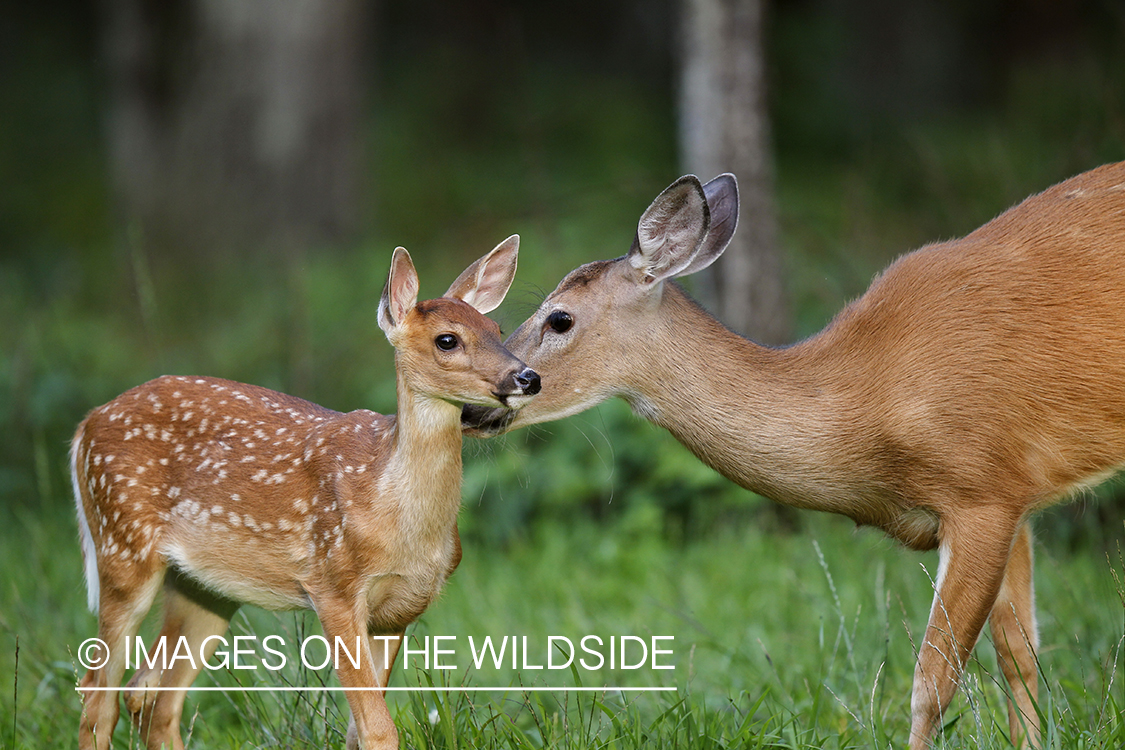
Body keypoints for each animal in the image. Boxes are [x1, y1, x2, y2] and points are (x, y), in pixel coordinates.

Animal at [74, 236, 540, 750]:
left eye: (497, 328)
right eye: (447, 340)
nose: (527, 378)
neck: (395, 512)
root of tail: (86, 425)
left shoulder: (397, 612)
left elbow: (360, 730)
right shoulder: (333, 585)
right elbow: (379, 729)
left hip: (204, 586)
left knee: (151, 695)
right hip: (122, 548)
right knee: (97, 694)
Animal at [461, 165, 1125, 750]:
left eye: (559, 318)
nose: (474, 407)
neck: (867, 396)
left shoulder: (982, 491)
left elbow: (932, 680)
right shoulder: (1018, 500)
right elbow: (1023, 658)